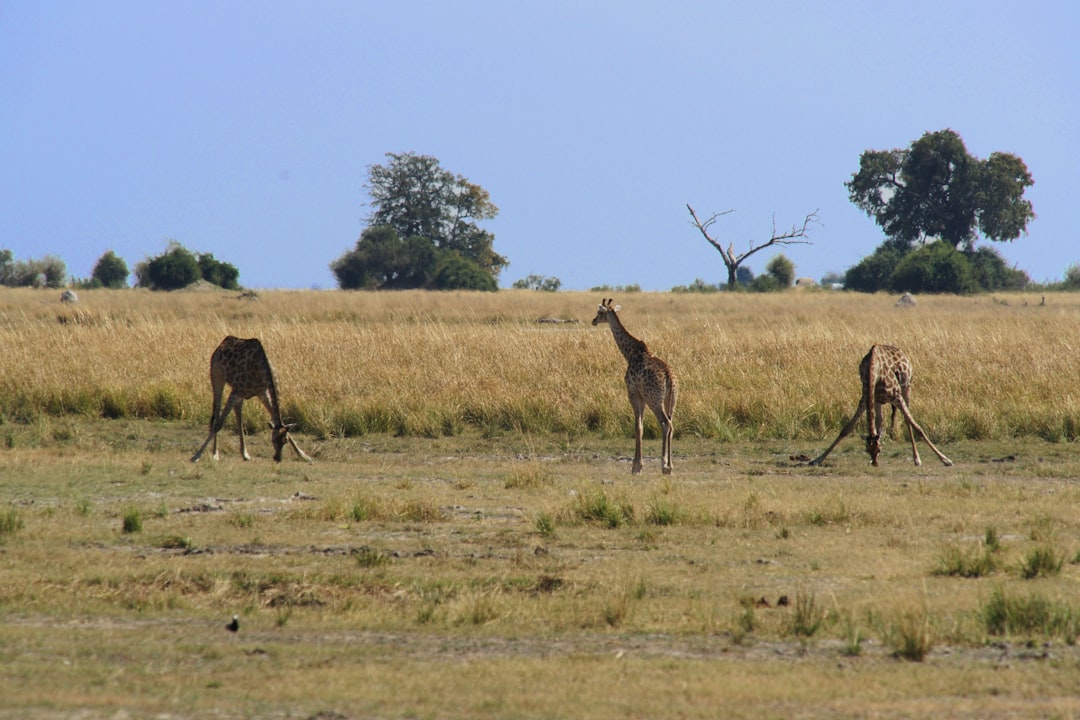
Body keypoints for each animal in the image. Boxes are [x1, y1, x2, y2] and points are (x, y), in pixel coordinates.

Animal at [186, 336, 308, 464]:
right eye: (273, 439)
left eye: (285, 441)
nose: (277, 458)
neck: (262, 370)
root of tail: (224, 342)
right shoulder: (236, 391)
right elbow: (219, 424)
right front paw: (196, 455)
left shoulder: (262, 392)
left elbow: (280, 421)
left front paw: (303, 455)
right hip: (217, 376)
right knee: (217, 413)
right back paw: (215, 453)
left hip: (240, 393)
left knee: (237, 410)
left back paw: (244, 453)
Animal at [591, 297, 673, 472]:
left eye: (600, 312)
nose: (593, 321)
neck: (630, 353)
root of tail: (669, 377)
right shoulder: (641, 396)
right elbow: (640, 426)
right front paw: (637, 464)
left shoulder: (633, 393)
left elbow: (638, 426)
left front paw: (636, 466)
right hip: (670, 399)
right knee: (672, 423)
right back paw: (670, 465)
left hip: (654, 399)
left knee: (666, 423)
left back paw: (664, 465)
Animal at [812, 343, 954, 468]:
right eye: (867, 450)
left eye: (879, 450)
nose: (875, 462)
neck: (874, 372)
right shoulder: (865, 398)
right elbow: (846, 428)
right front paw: (817, 459)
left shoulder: (897, 396)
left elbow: (917, 427)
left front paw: (945, 460)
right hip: (878, 401)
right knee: (880, 421)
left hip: (907, 388)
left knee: (907, 421)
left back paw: (916, 458)